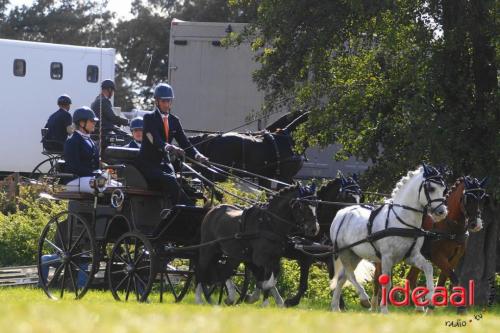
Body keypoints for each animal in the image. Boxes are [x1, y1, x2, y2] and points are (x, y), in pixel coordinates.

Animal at [330, 165, 448, 312]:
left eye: (444, 188)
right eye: (431, 188)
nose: (442, 212)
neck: (402, 220)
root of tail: (342, 213)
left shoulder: (411, 255)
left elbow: (428, 267)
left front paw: (430, 300)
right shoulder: (387, 257)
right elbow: (386, 282)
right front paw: (384, 310)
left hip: (355, 254)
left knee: (342, 276)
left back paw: (335, 307)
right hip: (344, 252)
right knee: (350, 274)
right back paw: (364, 299)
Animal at [374, 175, 486, 310]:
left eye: (483, 199)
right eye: (468, 199)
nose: (476, 224)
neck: (448, 226)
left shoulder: (454, 258)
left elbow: (443, 281)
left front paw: (433, 306)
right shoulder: (437, 257)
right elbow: (453, 278)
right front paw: (460, 307)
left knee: (410, 278)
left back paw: (417, 306)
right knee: (378, 277)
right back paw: (374, 305)